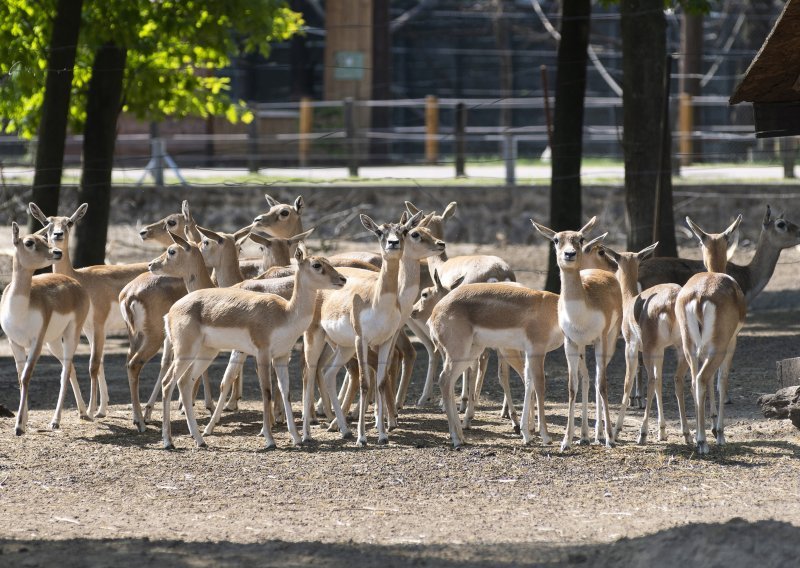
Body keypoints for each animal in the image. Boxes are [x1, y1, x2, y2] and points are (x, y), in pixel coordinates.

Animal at [1, 223, 90, 434]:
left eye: (44, 239)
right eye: (29, 242)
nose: (57, 252)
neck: (20, 310)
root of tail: (75, 283)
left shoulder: (37, 342)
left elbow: (26, 376)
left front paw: (19, 426)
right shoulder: (14, 342)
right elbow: (20, 377)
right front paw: (24, 421)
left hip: (71, 334)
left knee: (65, 372)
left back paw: (55, 420)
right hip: (54, 342)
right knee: (71, 368)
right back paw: (83, 412)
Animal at [28, 202, 147, 420]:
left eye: (69, 222)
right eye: (47, 221)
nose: (58, 234)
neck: (82, 280)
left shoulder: (99, 324)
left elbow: (93, 365)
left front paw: (91, 411)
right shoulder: (88, 328)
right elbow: (99, 364)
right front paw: (100, 410)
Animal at [162, 248, 346, 448]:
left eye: (328, 261)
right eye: (316, 265)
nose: (343, 279)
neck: (285, 314)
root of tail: (171, 311)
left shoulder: (281, 357)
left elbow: (286, 392)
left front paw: (297, 438)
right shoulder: (263, 354)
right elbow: (266, 391)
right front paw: (270, 439)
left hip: (206, 352)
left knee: (184, 382)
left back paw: (200, 439)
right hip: (185, 352)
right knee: (168, 382)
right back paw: (168, 442)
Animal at [532, 219, 624, 452]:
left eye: (580, 239)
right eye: (556, 240)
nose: (569, 254)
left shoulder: (600, 340)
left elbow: (603, 384)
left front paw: (610, 438)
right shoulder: (570, 343)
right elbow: (572, 387)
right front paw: (566, 440)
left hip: (610, 341)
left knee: (599, 379)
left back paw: (601, 434)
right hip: (582, 347)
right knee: (586, 378)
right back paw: (584, 435)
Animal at [680, 215, 748, 454]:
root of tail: (700, 295)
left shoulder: (702, 349)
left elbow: (711, 383)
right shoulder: (732, 342)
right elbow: (722, 381)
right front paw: (718, 433)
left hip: (689, 347)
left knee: (694, 381)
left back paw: (698, 438)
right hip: (718, 347)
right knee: (703, 378)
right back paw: (703, 442)